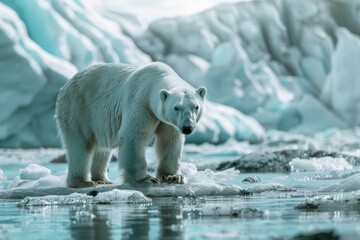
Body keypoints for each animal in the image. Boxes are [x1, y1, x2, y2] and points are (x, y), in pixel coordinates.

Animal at [55, 61, 207, 188]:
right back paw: (83, 181)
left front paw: (173, 177)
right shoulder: (141, 103)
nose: (187, 128)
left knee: (102, 148)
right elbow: (134, 135)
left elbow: (169, 140)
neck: (154, 81)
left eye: (196, 107)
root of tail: (67, 84)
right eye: (176, 107)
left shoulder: (167, 121)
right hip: (78, 110)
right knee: (79, 145)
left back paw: (102, 179)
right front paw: (147, 179)